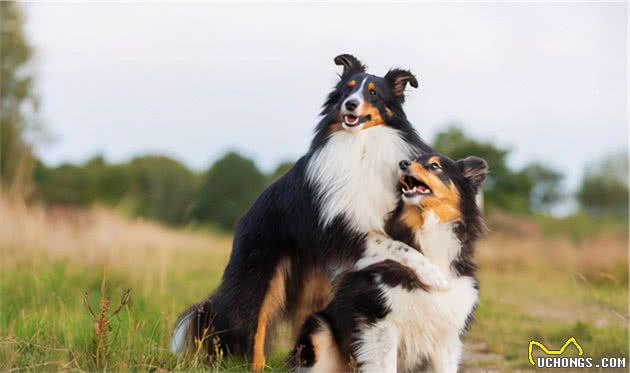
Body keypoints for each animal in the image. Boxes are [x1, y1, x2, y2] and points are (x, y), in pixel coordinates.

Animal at [174, 54, 440, 370]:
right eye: (348, 88)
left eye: (374, 93)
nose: (350, 104)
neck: (361, 145)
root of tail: (247, 213)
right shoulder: (346, 231)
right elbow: (398, 248)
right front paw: (434, 273)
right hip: (264, 275)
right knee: (252, 326)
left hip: (316, 287)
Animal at [292, 153, 488, 372]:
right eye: (414, 159)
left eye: (435, 166)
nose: (403, 163)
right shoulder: (380, 324)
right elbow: (384, 365)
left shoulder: (447, 334)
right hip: (318, 328)